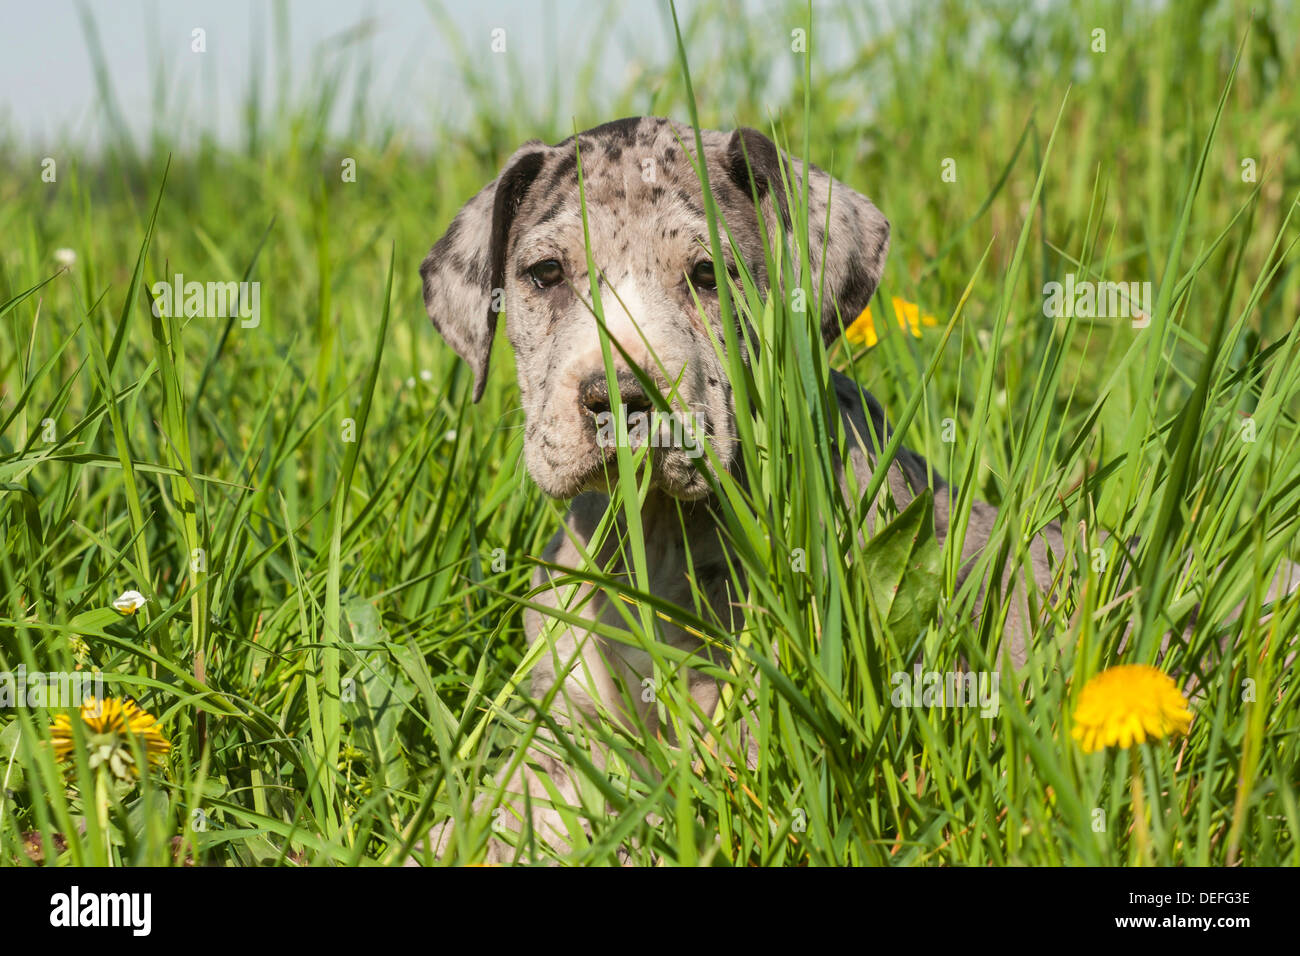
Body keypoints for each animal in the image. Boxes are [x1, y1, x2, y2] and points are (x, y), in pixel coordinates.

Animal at [421, 115, 1294, 863]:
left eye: (707, 276)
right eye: (545, 274)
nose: (621, 400)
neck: (659, 534)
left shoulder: (742, 745)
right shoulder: (557, 728)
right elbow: (493, 810)